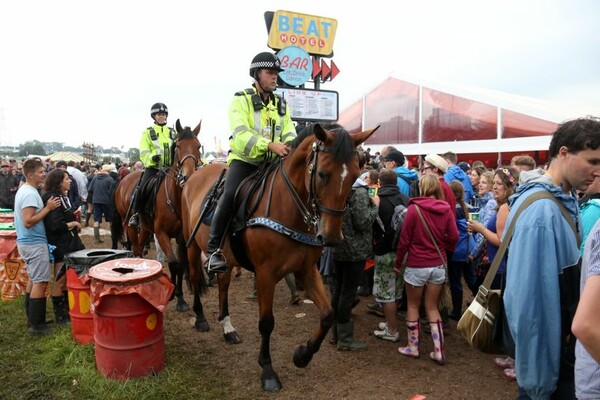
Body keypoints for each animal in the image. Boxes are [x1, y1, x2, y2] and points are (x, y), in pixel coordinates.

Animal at [113, 120, 204, 310]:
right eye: (178, 146)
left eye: (198, 146)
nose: (188, 176)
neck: (176, 198)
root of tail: (124, 180)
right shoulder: (162, 234)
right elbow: (174, 264)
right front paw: (173, 295)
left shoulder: (182, 237)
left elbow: (181, 266)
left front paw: (181, 298)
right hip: (129, 225)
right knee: (136, 249)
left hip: (146, 228)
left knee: (140, 245)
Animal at [180, 122, 378, 390]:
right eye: (322, 174)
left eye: (356, 175)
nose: (331, 237)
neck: (288, 208)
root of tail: (194, 177)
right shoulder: (265, 274)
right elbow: (266, 322)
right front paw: (268, 370)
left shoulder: (306, 269)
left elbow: (328, 314)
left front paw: (302, 355)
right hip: (191, 246)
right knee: (194, 276)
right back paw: (201, 319)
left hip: (228, 260)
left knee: (223, 284)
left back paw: (228, 329)